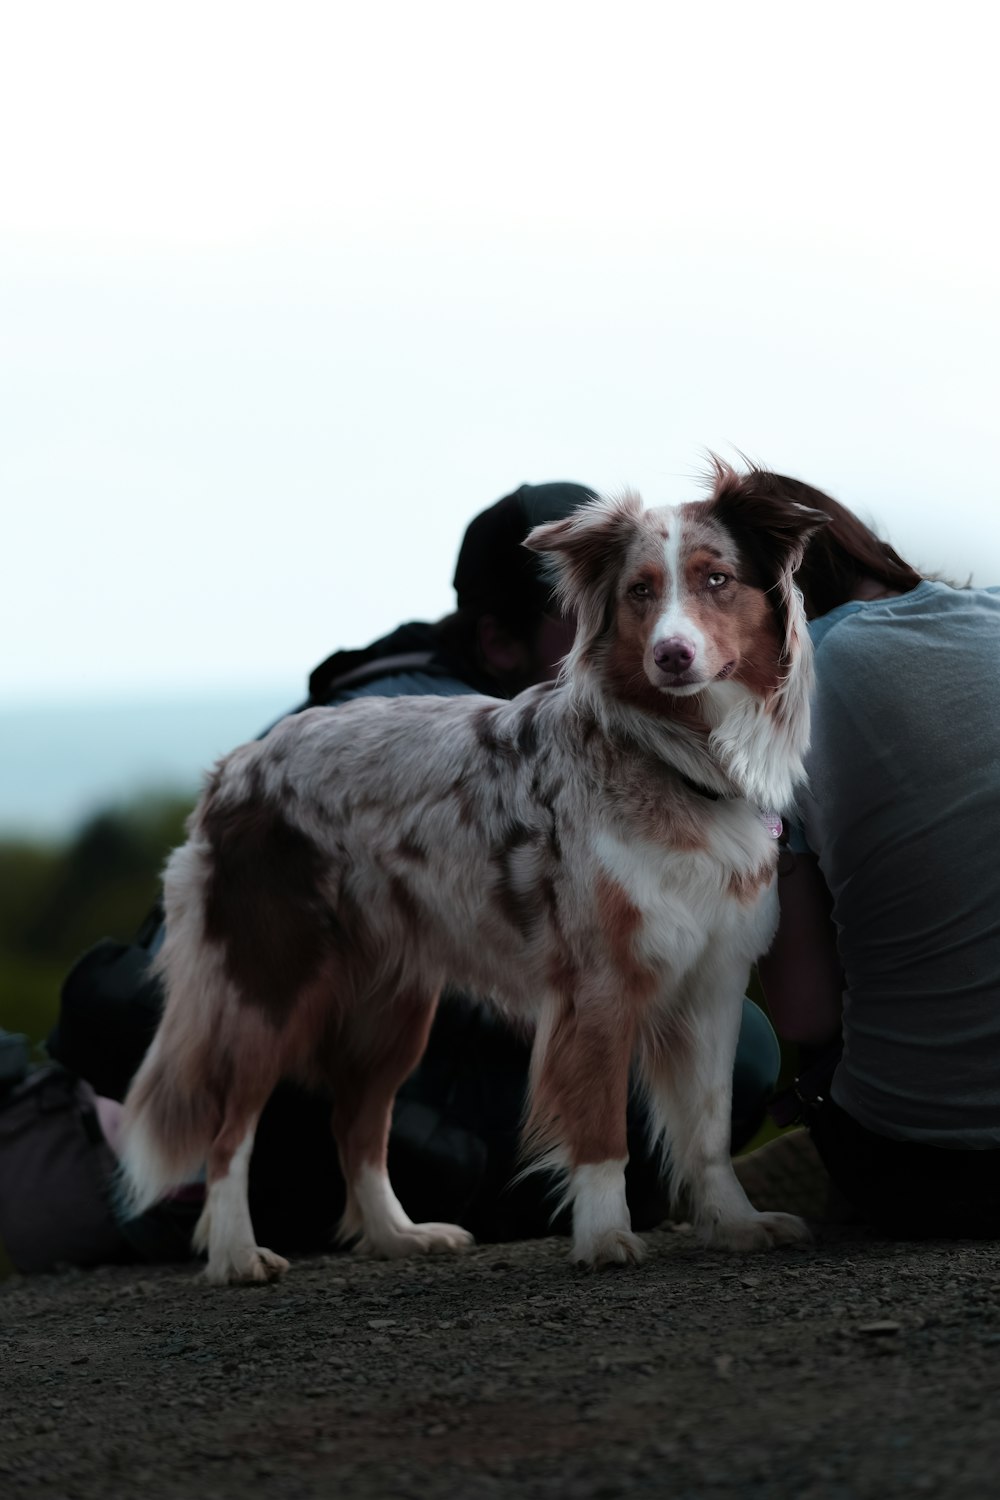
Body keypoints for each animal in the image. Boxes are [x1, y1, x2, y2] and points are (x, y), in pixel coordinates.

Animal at [121, 462, 827, 1284]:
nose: (671, 656)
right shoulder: (599, 982)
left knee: (355, 1125)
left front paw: (737, 1223)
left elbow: (708, 1130)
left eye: (717, 579)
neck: (675, 755)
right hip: (271, 987)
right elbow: (601, 1129)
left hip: (393, 1007)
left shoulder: (712, 977)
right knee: (230, 1130)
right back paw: (237, 1252)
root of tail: (235, 766)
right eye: (640, 592)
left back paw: (399, 1236)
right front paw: (605, 1237)